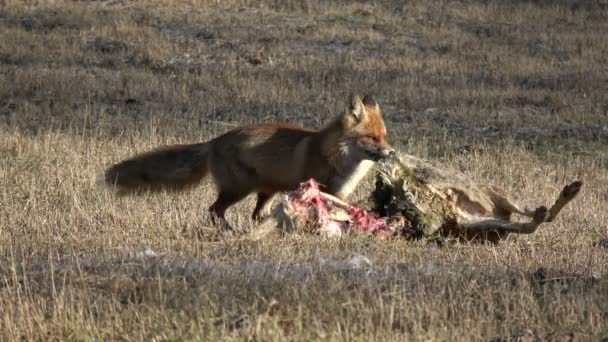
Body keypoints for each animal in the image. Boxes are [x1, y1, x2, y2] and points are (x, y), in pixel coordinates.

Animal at [102, 95, 396, 234]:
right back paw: (230, 232)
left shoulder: (337, 195)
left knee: (255, 215)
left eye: (385, 136)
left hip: (266, 191)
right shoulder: (317, 192)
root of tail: (215, 140)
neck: (340, 161)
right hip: (237, 190)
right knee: (214, 210)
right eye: (371, 138)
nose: (392, 152)